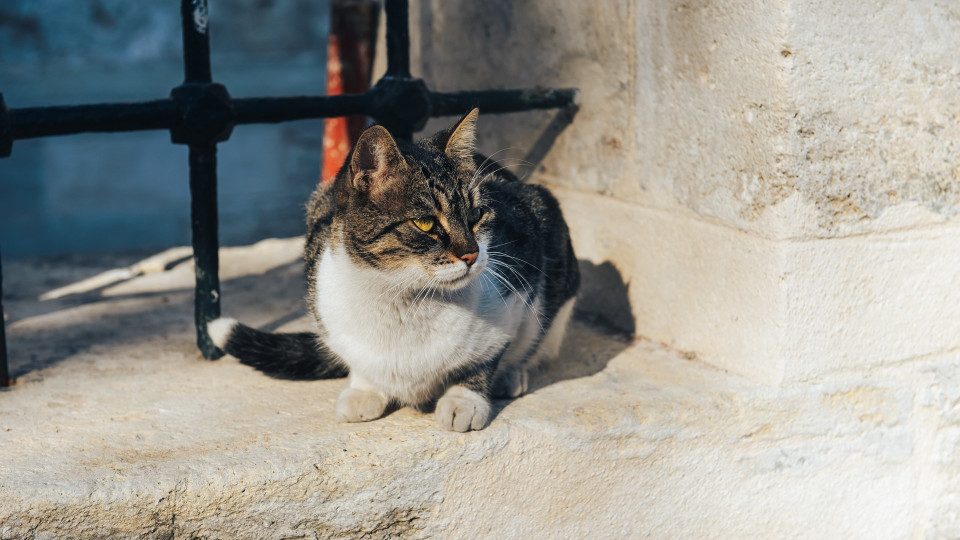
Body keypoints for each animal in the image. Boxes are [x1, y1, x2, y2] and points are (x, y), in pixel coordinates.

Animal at [208, 108, 576, 430]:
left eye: (476, 215)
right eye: (425, 223)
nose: (472, 254)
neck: (402, 297)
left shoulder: (524, 272)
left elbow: (487, 357)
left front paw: (465, 399)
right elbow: (360, 363)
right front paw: (364, 388)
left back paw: (511, 375)